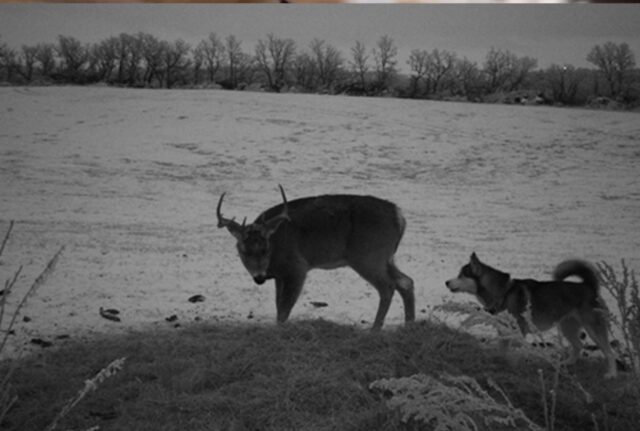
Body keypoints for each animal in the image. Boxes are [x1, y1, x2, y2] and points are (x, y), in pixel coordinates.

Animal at [215, 186, 416, 330]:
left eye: (265, 249)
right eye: (243, 250)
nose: (259, 278)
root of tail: (400, 216)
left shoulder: (297, 267)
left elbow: (284, 309)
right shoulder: (280, 276)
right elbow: (278, 305)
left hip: (368, 256)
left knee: (388, 286)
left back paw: (375, 329)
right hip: (386, 258)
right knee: (406, 281)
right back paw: (409, 326)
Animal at [444, 255, 616, 380]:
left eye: (461, 275)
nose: (446, 282)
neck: (504, 292)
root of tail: (589, 286)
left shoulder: (519, 331)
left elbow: (514, 349)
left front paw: (513, 364)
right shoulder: (504, 330)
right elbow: (502, 349)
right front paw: (501, 362)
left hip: (593, 329)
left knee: (608, 351)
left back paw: (610, 374)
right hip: (567, 326)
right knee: (578, 346)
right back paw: (566, 364)